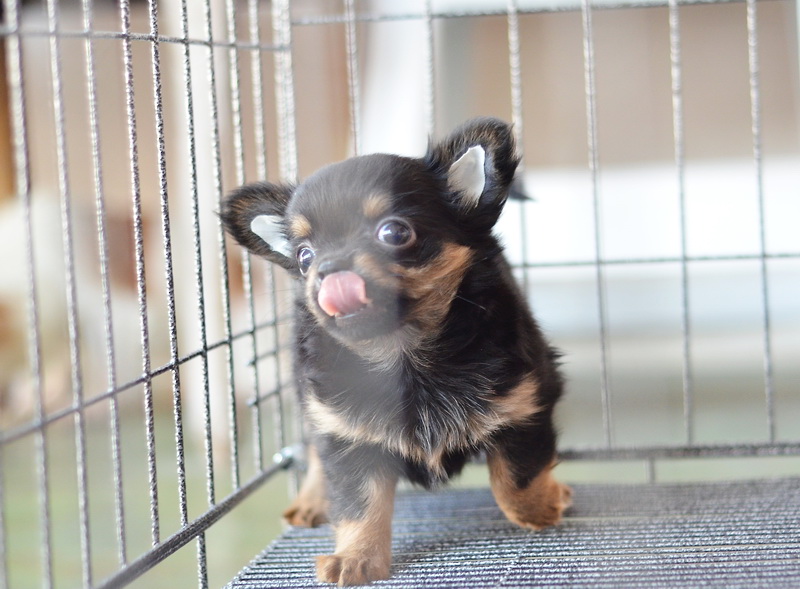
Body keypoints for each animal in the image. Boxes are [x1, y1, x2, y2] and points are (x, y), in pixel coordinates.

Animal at [221, 117, 571, 586]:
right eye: (304, 256)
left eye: (395, 232)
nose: (327, 271)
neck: (403, 356)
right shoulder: (345, 435)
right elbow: (360, 505)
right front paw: (355, 558)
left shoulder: (525, 401)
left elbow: (516, 477)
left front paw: (541, 508)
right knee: (312, 451)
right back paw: (312, 501)